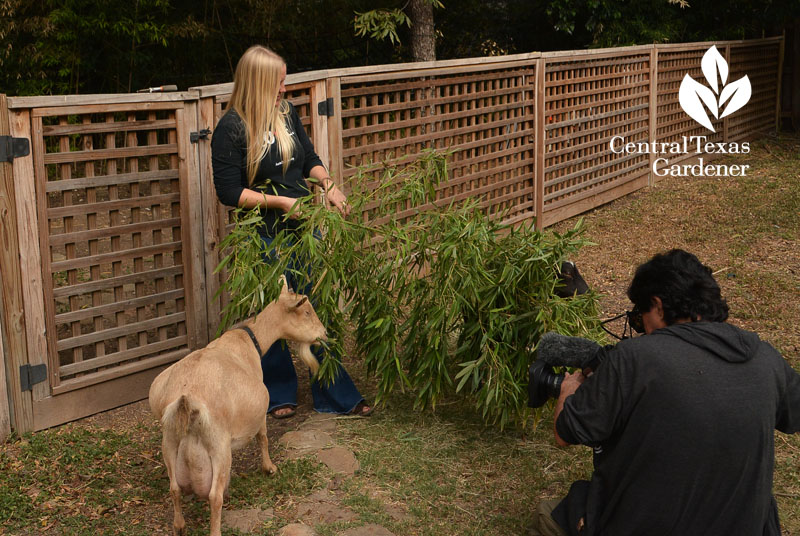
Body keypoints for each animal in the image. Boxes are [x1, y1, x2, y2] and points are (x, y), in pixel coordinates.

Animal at [150, 280, 324, 536]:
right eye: (307, 312)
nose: (324, 334)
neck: (248, 339)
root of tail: (187, 402)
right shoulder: (260, 413)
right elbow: (263, 437)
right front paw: (269, 468)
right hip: (219, 447)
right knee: (214, 497)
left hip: (169, 442)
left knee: (174, 488)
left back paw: (179, 526)